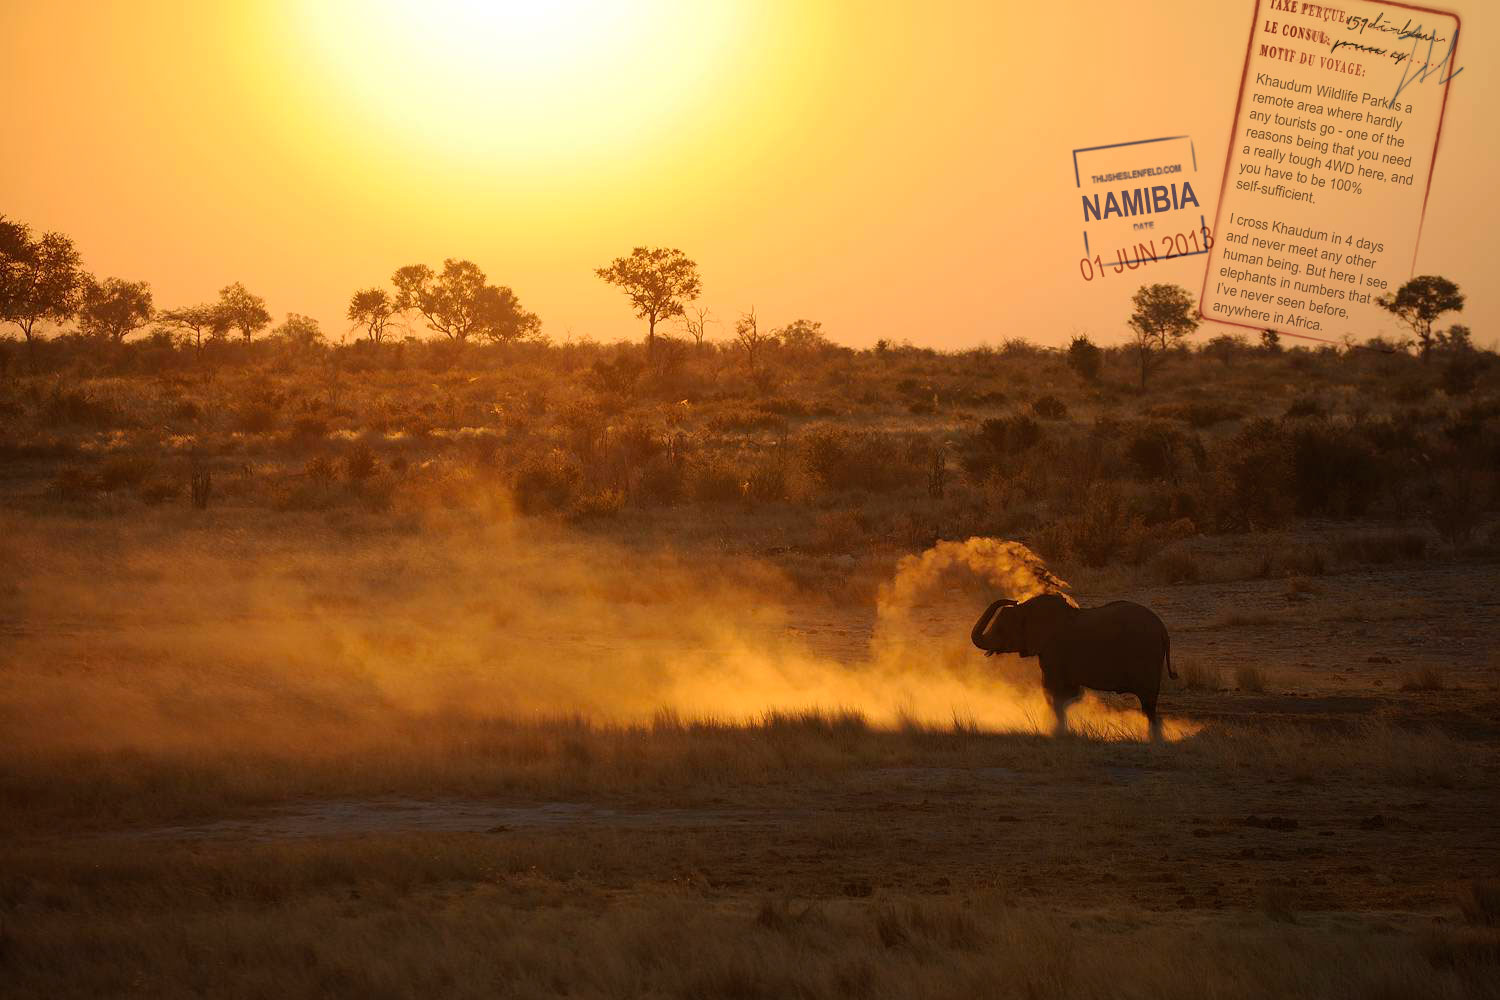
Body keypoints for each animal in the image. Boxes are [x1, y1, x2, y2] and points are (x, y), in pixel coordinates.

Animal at [978, 590, 1176, 740]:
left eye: (1001, 629)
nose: (1013, 600)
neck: (1027, 608)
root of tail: (1163, 630)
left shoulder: (1054, 651)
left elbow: (1053, 692)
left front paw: (1057, 733)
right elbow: (1065, 694)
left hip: (1147, 656)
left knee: (1148, 704)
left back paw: (1154, 738)